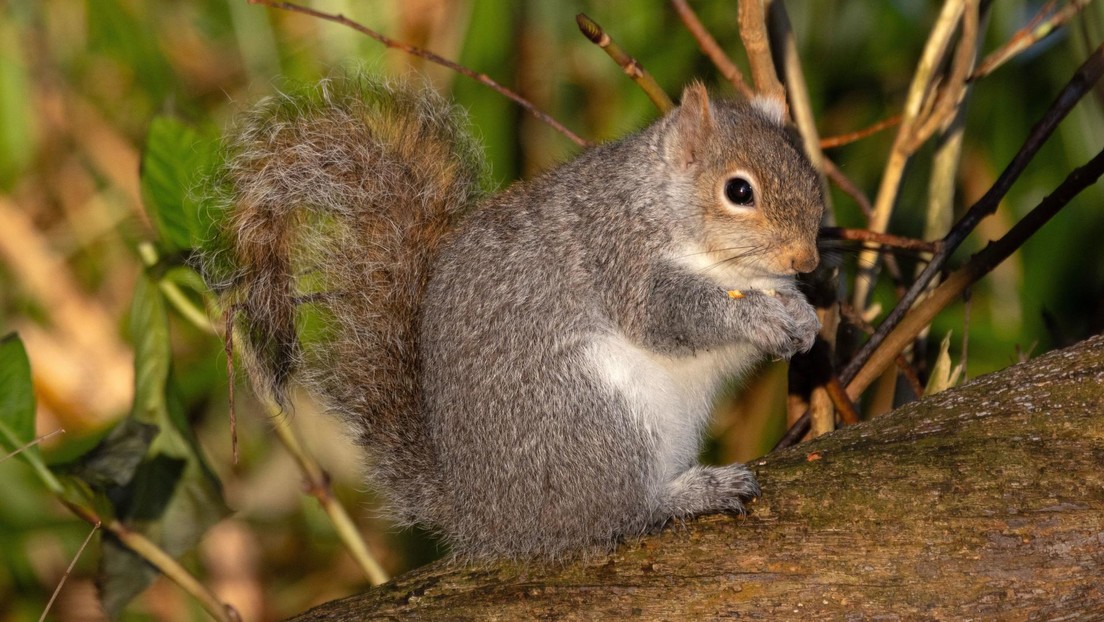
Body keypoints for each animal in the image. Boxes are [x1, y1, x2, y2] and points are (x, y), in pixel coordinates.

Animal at [203, 72, 825, 559]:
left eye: (808, 171)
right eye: (738, 191)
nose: (807, 259)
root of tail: (489, 519)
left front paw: (803, 316)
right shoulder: (619, 260)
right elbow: (670, 316)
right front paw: (758, 321)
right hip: (592, 415)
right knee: (614, 515)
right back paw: (689, 494)